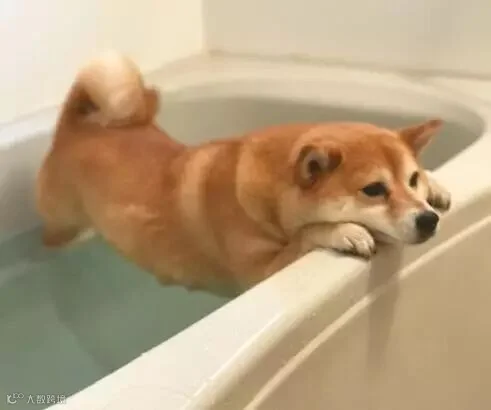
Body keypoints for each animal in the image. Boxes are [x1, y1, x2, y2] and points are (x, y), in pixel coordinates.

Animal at [36, 52, 451, 295]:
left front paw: (436, 184)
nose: (428, 220)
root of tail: (76, 127)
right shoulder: (261, 275)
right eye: (374, 189)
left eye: (411, 180)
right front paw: (342, 231)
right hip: (65, 225)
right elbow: (306, 235)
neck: (265, 198)